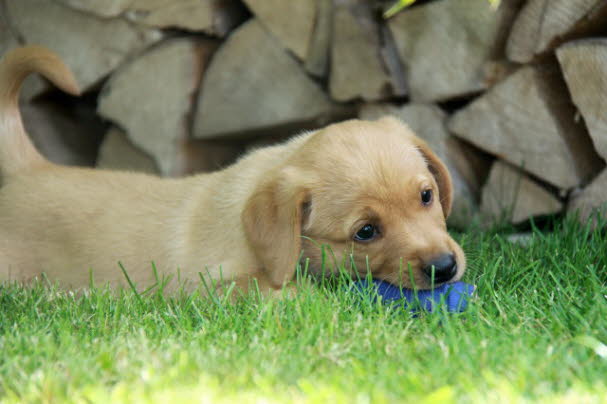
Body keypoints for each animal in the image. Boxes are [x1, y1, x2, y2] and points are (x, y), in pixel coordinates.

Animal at [0, 46, 466, 294]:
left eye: (426, 196)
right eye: (365, 232)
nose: (445, 268)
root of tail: (30, 168)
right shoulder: (210, 289)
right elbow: (291, 290)